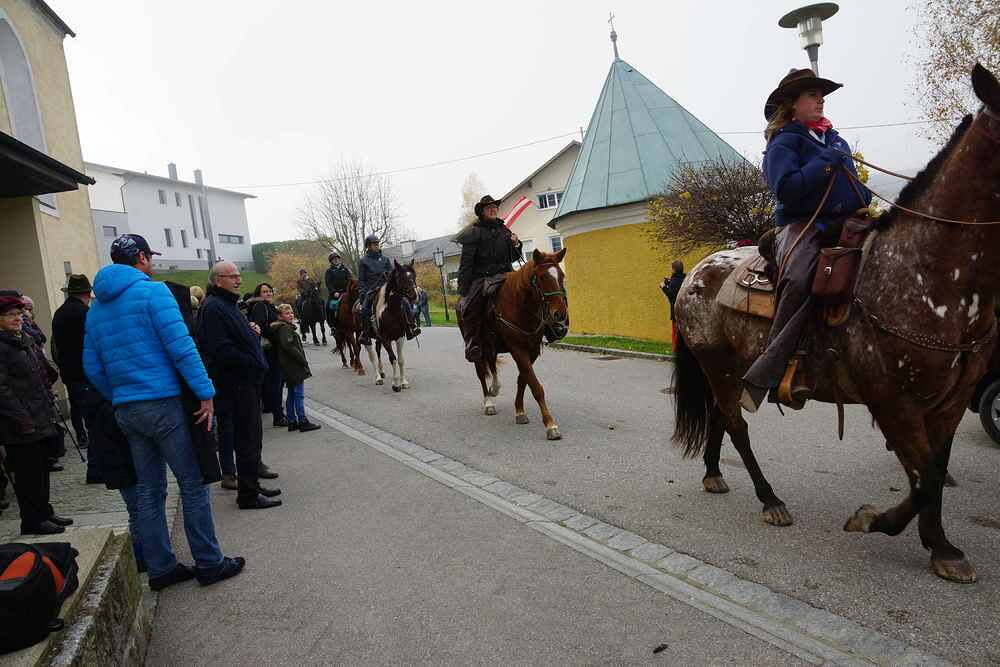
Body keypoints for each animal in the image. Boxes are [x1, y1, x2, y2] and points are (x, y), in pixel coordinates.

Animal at [363, 260, 417, 392]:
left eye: (414, 276)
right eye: (401, 278)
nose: (415, 295)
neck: (391, 311)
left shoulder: (400, 337)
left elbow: (401, 359)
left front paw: (404, 382)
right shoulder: (386, 339)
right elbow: (393, 358)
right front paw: (396, 384)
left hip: (378, 338)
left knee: (377, 350)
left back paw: (381, 372)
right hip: (366, 339)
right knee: (372, 356)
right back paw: (378, 378)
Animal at [459, 248, 569, 440]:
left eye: (561, 275)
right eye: (542, 278)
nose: (560, 314)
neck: (520, 306)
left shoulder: (531, 350)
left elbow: (523, 380)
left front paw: (519, 411)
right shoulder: (518, 349)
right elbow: (535, 385)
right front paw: (550, 424)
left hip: (490, 346)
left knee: (492, 366)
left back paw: (495, 388)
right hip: (476, 348)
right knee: (481, 373)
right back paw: (489, 402)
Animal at [670, 64, 1000, 583]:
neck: (924, 273)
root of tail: (695, 274)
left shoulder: (949, 401)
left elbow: (934, 471)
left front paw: (940, 545)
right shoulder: (893, 401)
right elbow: (924, 477)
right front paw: (878, 522)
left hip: (725, 369)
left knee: (721, 418)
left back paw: (713, 473)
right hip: (717, 364)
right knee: (737, 425)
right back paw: (770, 499)